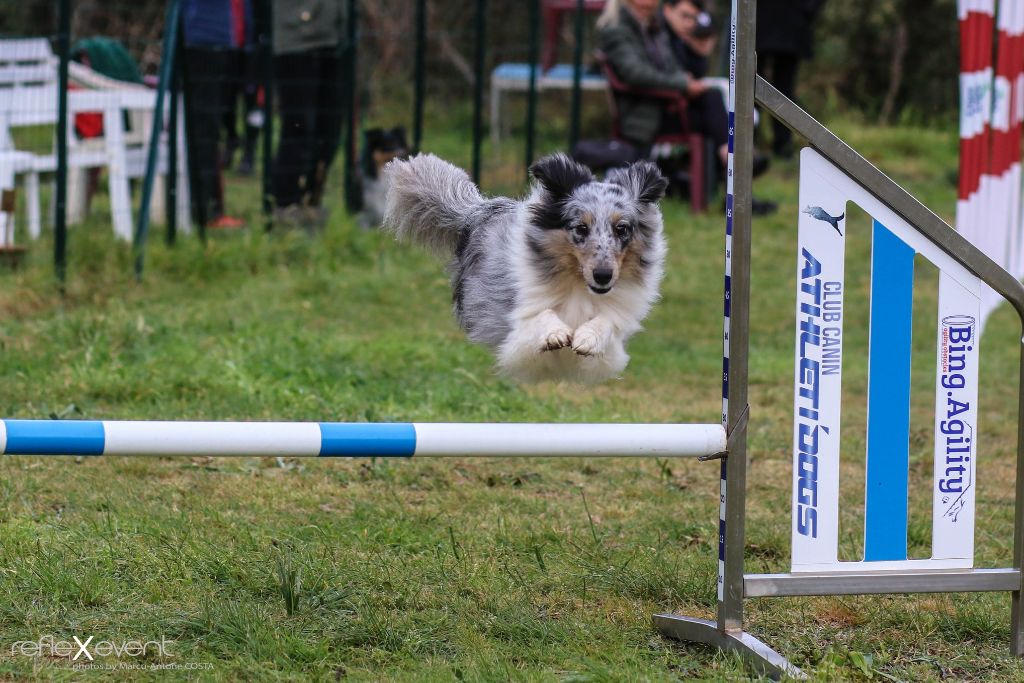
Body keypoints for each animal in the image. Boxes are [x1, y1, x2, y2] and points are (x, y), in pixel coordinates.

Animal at [385, 152, 671, 385]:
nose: (603, 276)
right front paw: (555, 333)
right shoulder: (514, 337)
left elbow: (606, 322)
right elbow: (540, 315)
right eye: (581, 228)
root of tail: (478, 211)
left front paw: (586, 338)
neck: (577, 284)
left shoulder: (610, 350)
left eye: (622, 228)